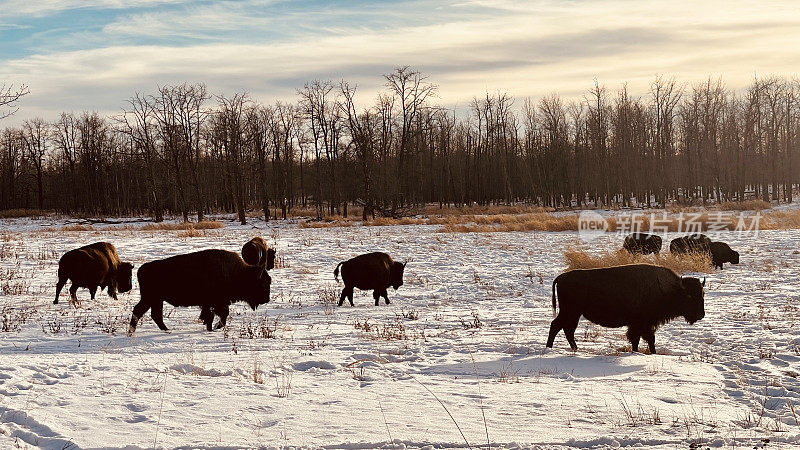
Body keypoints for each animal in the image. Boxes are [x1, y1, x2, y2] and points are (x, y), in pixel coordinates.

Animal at [128, 250, 270, 334]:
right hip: (150, 298)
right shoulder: (217, 302)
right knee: (140, 311)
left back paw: (165, 330)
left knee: (153, 314)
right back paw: (132, 332)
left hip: (156, 300)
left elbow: (211, 315)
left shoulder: (209, 304)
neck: (238, 272)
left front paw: (210, 327)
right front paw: (216, 327)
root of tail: (141, 269)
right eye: (263, 283)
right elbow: (222, 315)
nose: (266, 299)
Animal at [544, 264, 708, 356]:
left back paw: (573, 349)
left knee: (566, 329)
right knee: (557, 326)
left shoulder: (639, 325)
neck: (670, 289)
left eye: (702, 293)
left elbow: (638, 339)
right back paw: (551, 348)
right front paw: (651, 353)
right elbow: (648, 339)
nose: (701, 315)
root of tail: (561, 277)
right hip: (570, 312)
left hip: (574, 313)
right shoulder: (643, 324)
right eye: (689, 296)